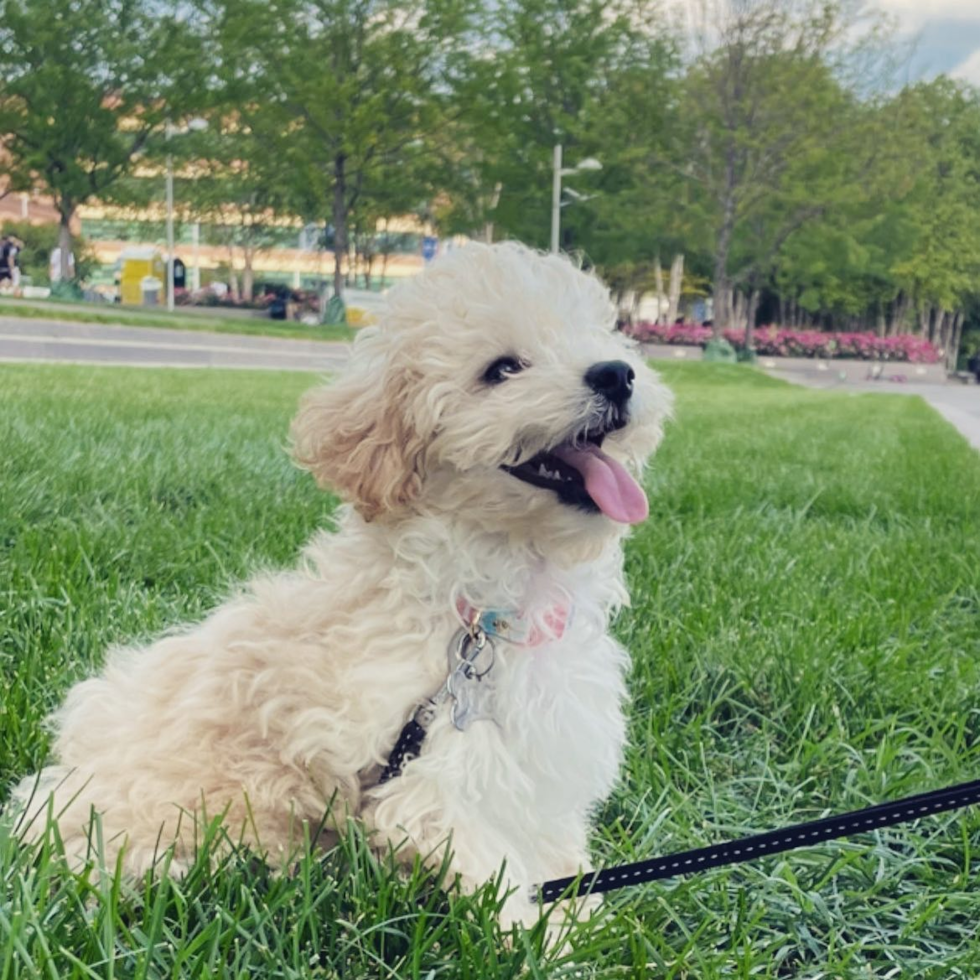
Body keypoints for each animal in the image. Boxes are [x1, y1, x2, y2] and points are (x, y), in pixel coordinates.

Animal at [11, 241, 672, 924]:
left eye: (600, 335)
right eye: (502, 369)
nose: (616, 374)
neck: (487, 609)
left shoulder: (539, 765)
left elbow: (554, 851)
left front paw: (585, 914)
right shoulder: (435, 778)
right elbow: (503, 876)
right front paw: (555, 937)